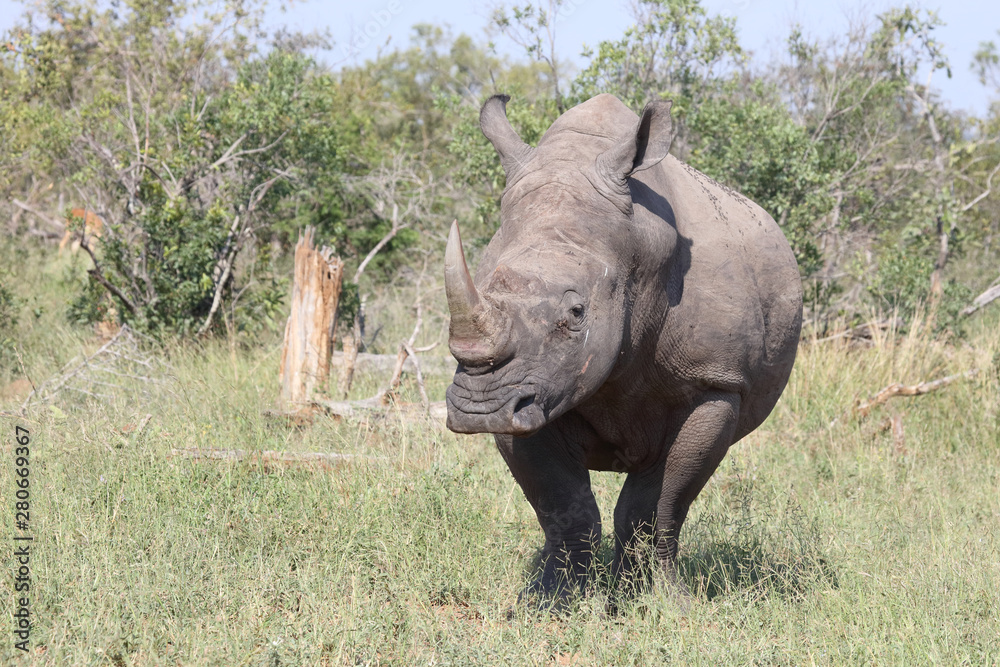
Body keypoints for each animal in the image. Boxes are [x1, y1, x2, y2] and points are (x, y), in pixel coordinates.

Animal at [444, 93, 803, 604]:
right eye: (486, 285)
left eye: (577, 312)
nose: (479, 408)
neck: (634, 251)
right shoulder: (527, 393)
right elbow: (563, 505)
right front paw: (552, 602)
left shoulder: (714, 382)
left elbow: (655, 506)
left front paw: (663, 604)